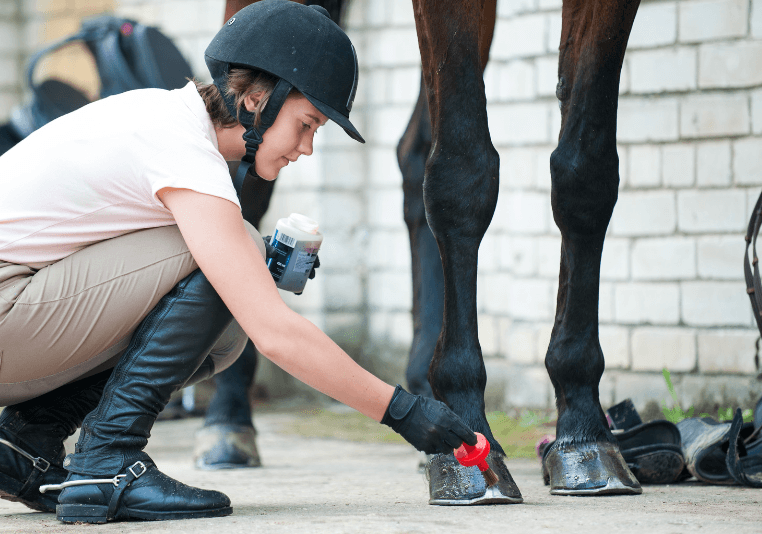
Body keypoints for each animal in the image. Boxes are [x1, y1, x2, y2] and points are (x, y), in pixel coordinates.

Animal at [204, 0, 644, 502]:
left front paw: (585, 433)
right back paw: (228, 420)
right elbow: (462, 172)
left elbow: (585, 173)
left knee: (413, 152)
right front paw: (467, 437)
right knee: (249, 182)